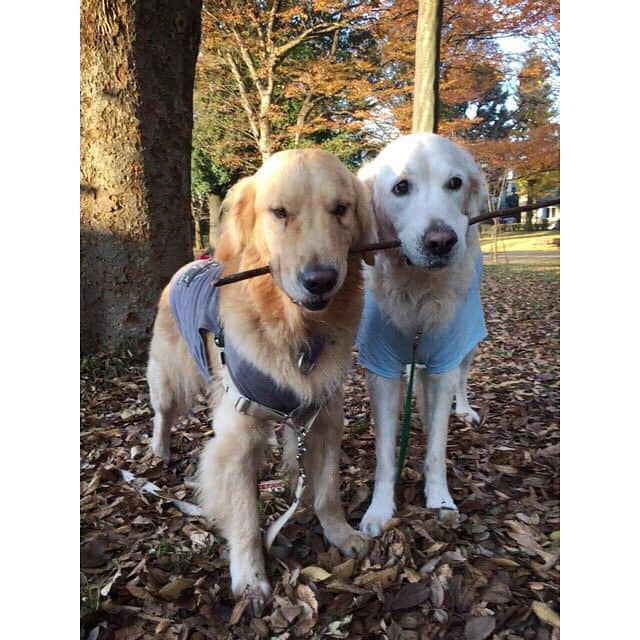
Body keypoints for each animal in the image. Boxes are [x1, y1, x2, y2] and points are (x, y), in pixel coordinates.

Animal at [356, 134, 490, 536]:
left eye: (455, 183)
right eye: (401, 187)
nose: (441, 241)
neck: (417, 288)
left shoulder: (444, 363)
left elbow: (436, 449)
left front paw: (440, 500)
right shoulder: (381, 369)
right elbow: (385, 454)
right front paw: (379, 510)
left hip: (467, 342)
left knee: (460, 379)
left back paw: (462, 410)